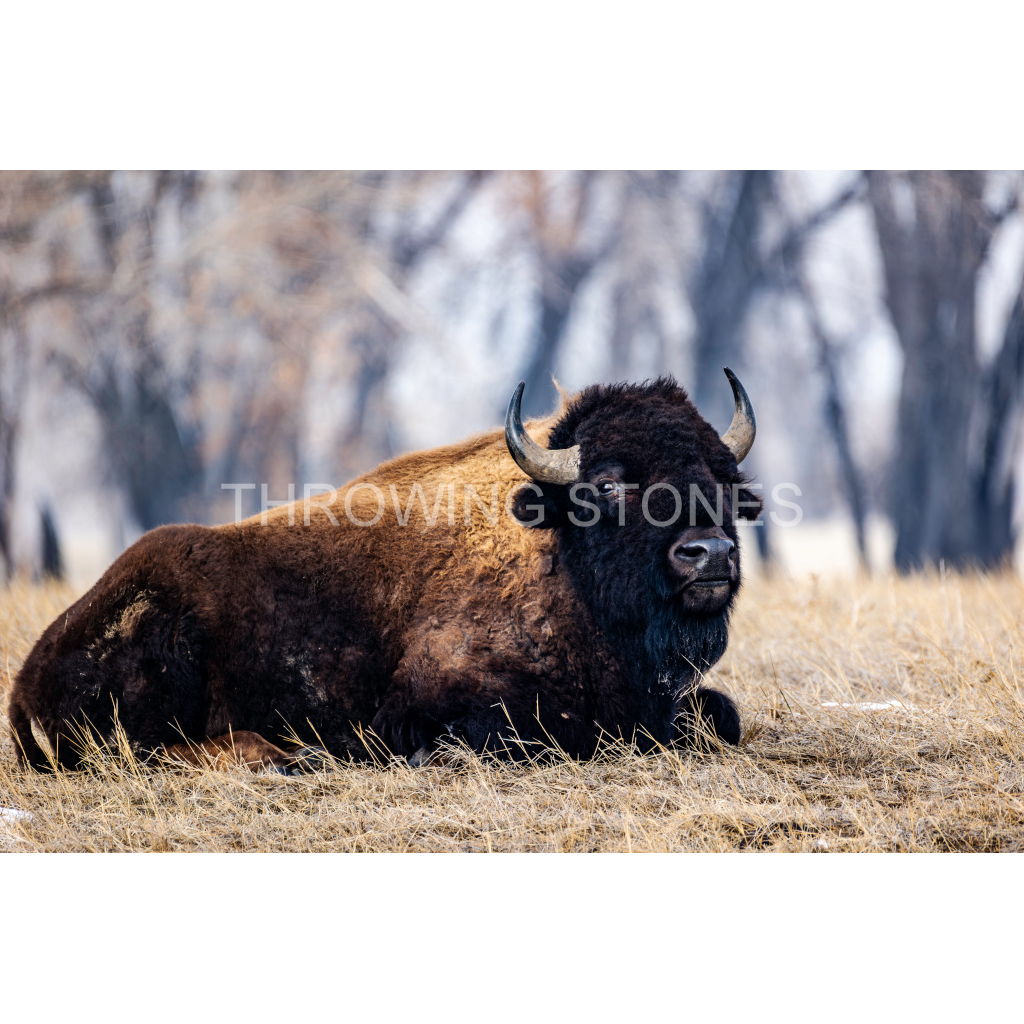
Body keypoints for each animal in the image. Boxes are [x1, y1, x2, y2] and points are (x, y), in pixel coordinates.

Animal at [8, 370, 760, 771]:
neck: (559, 560)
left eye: (724, 478)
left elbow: (720, 714)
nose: (709, 555)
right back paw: (287, 757)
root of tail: (27, 676)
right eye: (607, 483)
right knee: (153, 749)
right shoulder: (433, 706)